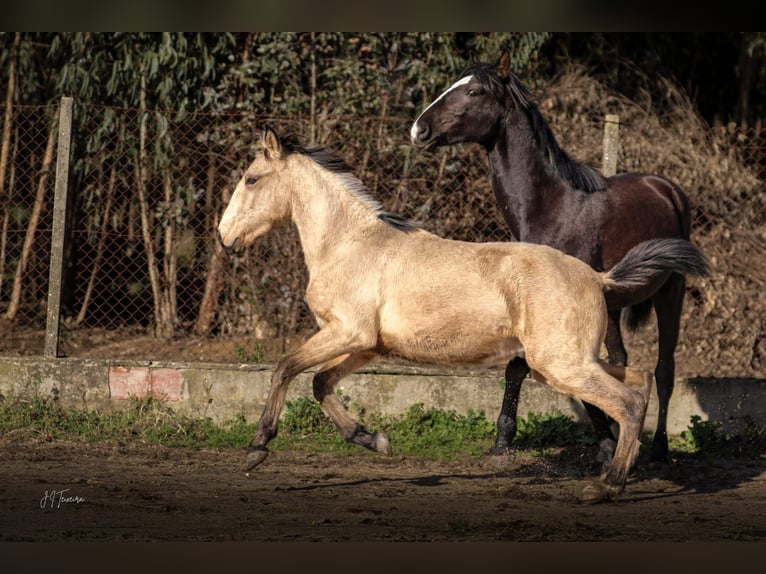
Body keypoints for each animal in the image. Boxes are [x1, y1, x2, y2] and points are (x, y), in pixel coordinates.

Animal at [219, 127, 712, 504]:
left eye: (251, 178)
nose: (224, 237)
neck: (350, 244)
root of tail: (597, 277)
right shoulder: (365, 345)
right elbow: (321, 383)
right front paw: (373, 440)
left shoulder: (347, 333)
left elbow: (285, 368)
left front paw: (256, 448)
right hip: (566, 362)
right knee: (639, 380)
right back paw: (622, 470)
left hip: (562, 364)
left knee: (628, 401)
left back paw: (606, 487)